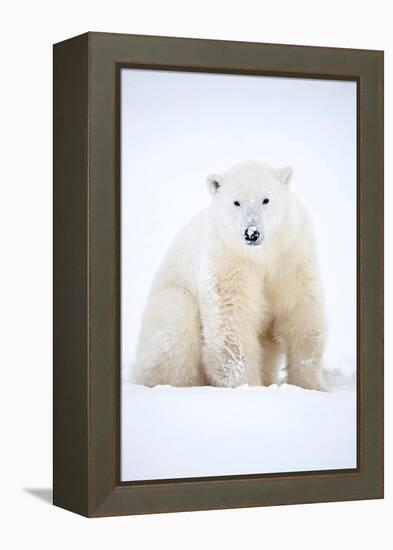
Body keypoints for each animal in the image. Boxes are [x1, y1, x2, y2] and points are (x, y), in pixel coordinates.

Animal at [134, 162, 324, 390]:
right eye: (236, 202)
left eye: (266, 199)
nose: (251, 233)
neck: (261, 254)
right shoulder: (227, 258)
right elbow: (231, 321)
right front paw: (249, 386)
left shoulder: (291, 255)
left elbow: (300, 313)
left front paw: (310, 386)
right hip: (169, 304)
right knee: (176, 320)